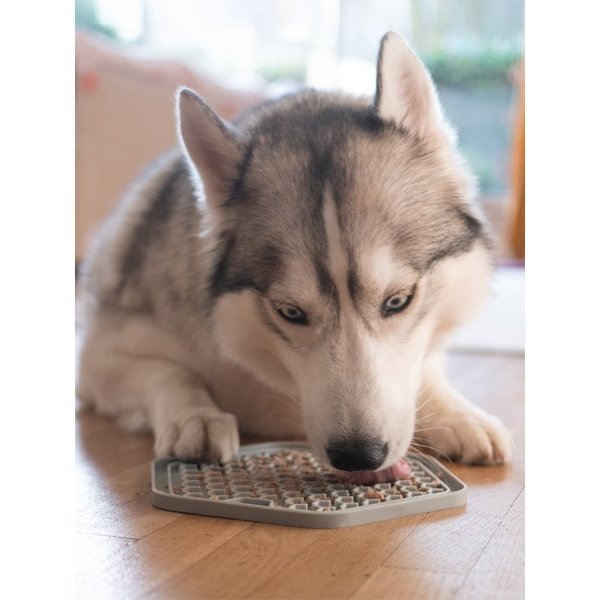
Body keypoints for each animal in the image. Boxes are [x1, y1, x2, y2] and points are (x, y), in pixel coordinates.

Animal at [76, 34, 510, 474]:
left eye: (398, 301)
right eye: (290, 312)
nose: (358, 456)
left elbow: (425, 370)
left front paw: (459, 414)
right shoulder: (99, 355)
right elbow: (171, 374)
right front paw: (195, 415)